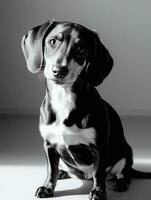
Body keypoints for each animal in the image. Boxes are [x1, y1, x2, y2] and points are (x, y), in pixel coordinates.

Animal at [21, 19, 151, 200]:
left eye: (80, 48)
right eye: (53, 41)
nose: (59, 70)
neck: (64, 99)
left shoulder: (99, 147)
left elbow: (99, 173)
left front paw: (98, 191)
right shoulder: (49, 144)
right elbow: (51, 169)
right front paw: (47, 187)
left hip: (125, 153)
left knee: (123, 173)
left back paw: (121, 182)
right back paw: (63, 173)